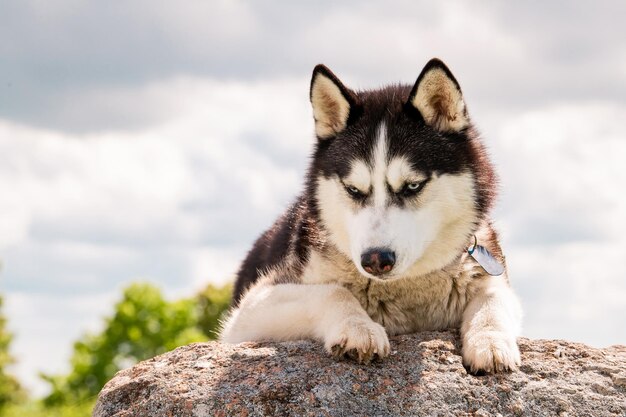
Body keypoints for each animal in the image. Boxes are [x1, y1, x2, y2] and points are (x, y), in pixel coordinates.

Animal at [221, 57, 520, 370]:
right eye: (353, 189)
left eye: (413, 185)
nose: (376, 260)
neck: (408, 291)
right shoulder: (250, 310)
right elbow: (333, 291)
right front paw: (358, 327)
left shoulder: (490, 274)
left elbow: (492, 298)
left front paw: (490, 341)